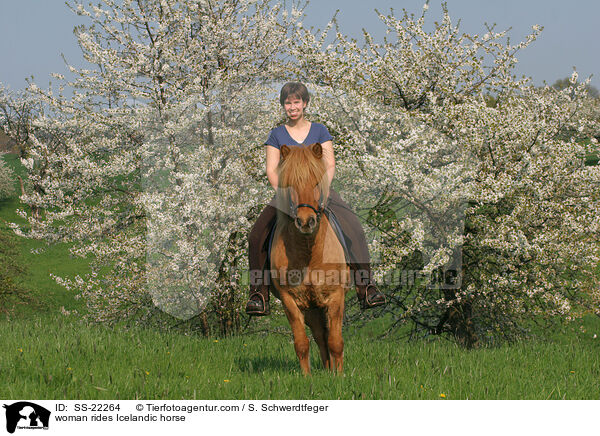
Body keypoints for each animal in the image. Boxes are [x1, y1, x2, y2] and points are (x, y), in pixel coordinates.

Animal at [268, 143, 350, 374]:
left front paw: (339, 376)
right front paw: (307, 377)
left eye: (316, 183)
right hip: (312, 308)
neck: (309, 253)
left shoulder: (336, 296)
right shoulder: (290, 300)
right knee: (320, 336)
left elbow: (336, 341)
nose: (306, 222)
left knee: (327, 336)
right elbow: (302, 343)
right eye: (290, 185)